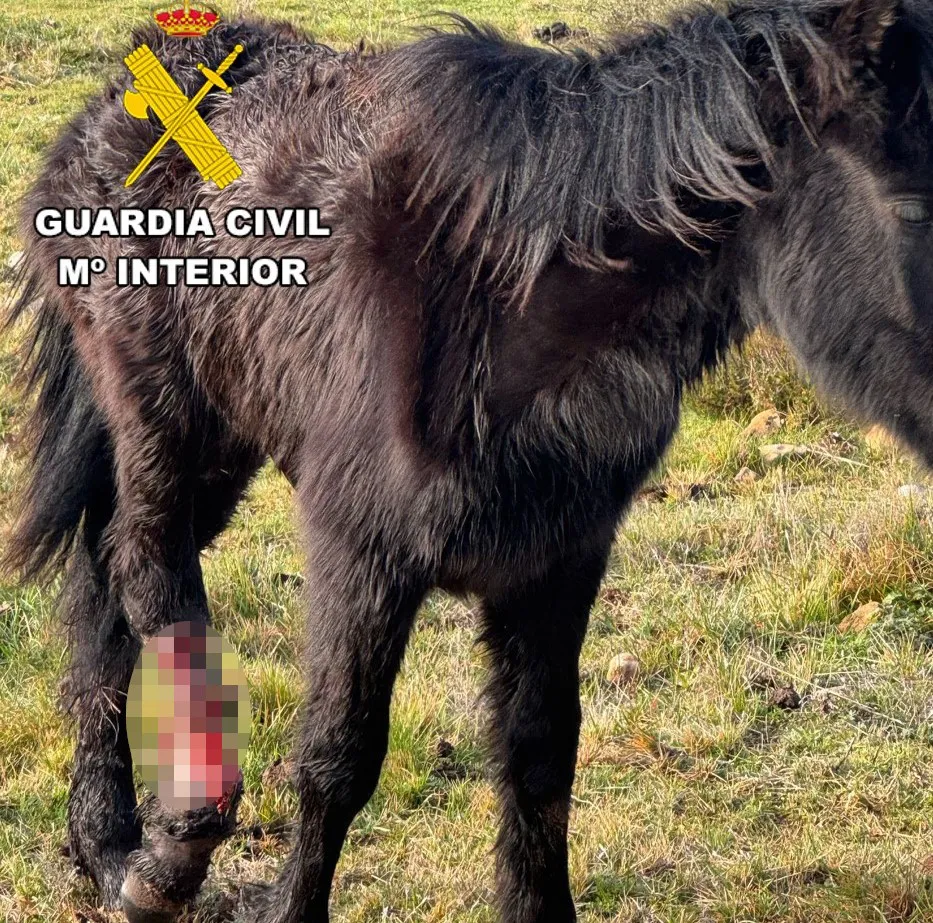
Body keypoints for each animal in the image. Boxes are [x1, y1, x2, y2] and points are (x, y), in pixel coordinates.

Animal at [6, 0, 933, 919]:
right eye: (914, 211)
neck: (503, 311)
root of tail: (127, 84)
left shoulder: (557, 565)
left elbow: (540, 758)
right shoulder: (361, 552)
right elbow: (337, 759)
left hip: (224, 441)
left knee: (104, 587)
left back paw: (107, 845)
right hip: (160, 413)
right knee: (144, 573)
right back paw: (163, 857)